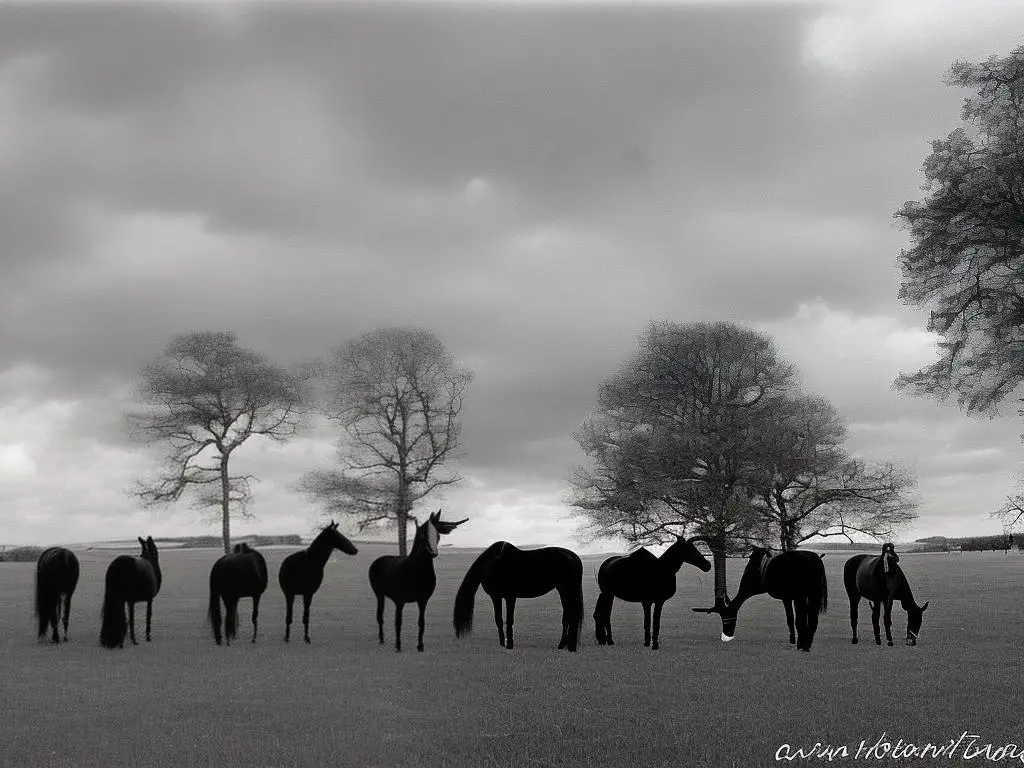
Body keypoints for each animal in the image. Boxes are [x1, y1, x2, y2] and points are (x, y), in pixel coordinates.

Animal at [368, 512, 464, 655]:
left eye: (438, 535)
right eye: (423, 534)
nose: (433, 553)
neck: (416, 573)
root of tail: (377, 561)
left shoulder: (423, 599)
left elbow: (421, 622)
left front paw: (420, 646)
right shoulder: (399, 600)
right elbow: (398, 622)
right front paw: (398, 646)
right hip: (378, 592)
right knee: (380, 615)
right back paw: (381, 640)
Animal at [454, 540, 585, 655]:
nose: (458, 635)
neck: (494, 565)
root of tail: (574, 557)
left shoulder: (510, 597)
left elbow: (509, 620)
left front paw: (509, 645)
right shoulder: (495, 596)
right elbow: (499, 620)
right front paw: (502, 644)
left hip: (569, 590)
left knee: (572, 615)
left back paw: (570, 647)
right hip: (562, 590)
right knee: (567, 616)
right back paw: (562, 645)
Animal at [692, 548, 827, 651]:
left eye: (726, 617)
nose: (726, 637)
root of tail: (815, 558)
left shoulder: (788, 598)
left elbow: (792, 620)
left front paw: (793, 642)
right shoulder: (796, 598)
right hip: (812, 595)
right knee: (812, 620)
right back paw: (806, 645)